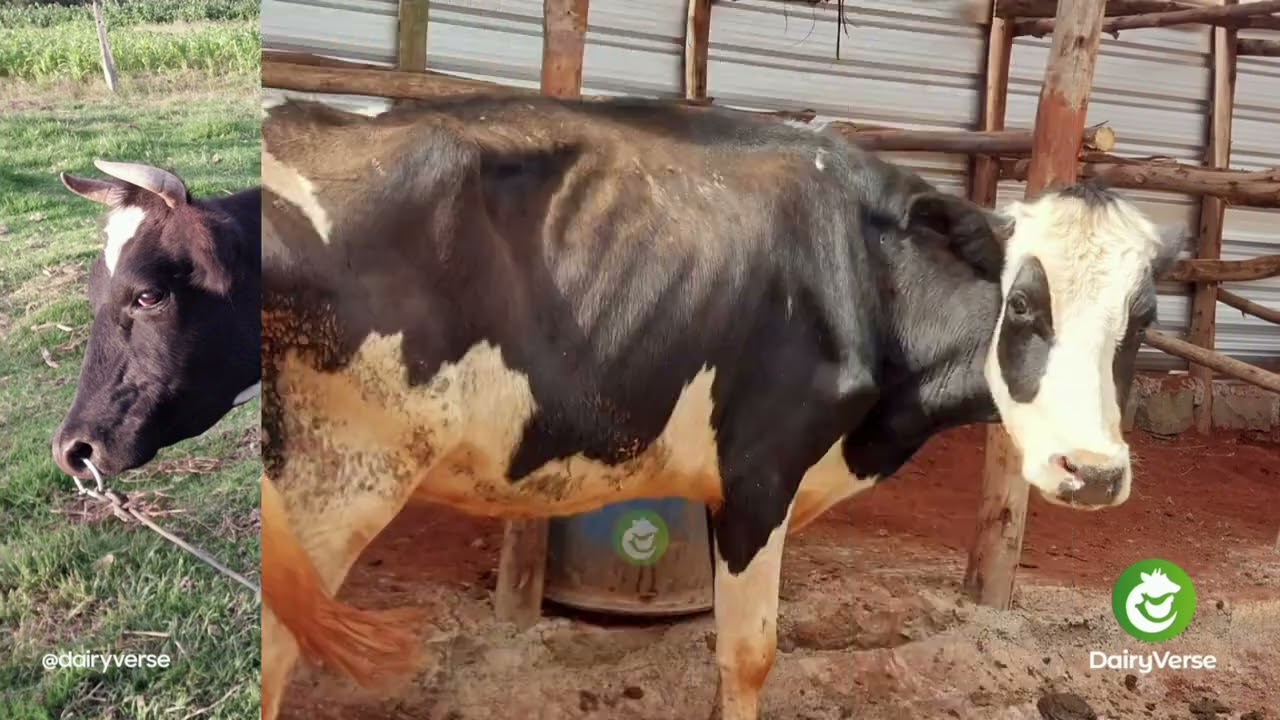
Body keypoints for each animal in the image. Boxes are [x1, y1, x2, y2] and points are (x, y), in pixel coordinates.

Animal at [259, 95, 1181, 720]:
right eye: (1021, 304)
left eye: (1143, 317)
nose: (1093, 471)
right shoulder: (760, 473)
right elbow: (751, 654)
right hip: (339, 473)